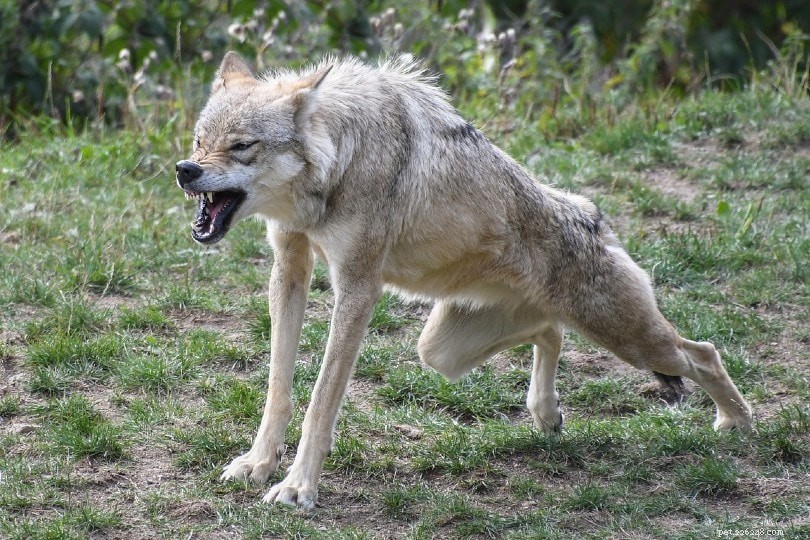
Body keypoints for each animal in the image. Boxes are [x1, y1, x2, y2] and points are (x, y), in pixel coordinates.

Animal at [175, 51, 753, 508]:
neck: (340, 159)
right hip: (441, 351)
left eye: (242, 146)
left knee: (702, 352)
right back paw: (546, 413)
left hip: (630, 340)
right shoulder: (289, 268)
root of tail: (592, 214)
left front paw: (298, 487)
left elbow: (320, 399)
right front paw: (258, 463)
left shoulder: (357, 287)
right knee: (551, 331)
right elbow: (279, 386)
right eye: (200, 140)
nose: (185, 170)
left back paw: (738, 425)